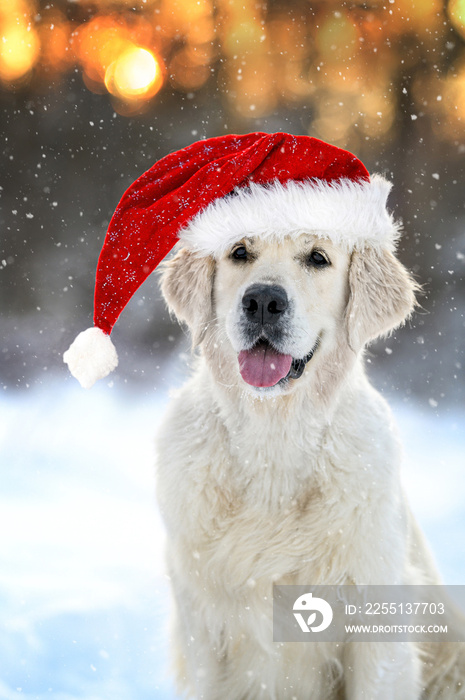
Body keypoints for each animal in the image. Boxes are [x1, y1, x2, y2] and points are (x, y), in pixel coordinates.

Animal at [157, 231, 464, 700]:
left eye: (318, 258)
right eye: (239, 252)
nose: (263, 301)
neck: (274, 443)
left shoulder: (376, 626)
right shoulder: (203, 627)